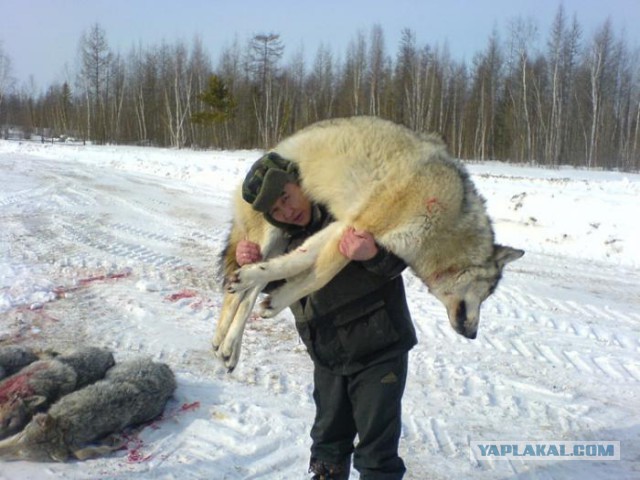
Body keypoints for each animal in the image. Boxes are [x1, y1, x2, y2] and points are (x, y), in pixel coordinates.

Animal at [212, 114, 524, 370]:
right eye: (488, 293)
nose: (473, 334)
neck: (448, 222)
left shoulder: (341, 226)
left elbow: (301, 262)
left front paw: (274, 303)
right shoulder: (357, 227)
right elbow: (319, 276)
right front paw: (277, 300)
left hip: (278, 241)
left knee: (249, 291)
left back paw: (229, 347)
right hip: (269, 234)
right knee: (235, 291)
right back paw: (222, 336)